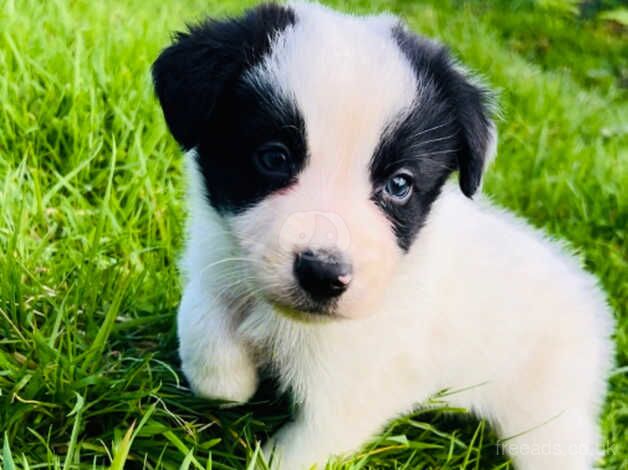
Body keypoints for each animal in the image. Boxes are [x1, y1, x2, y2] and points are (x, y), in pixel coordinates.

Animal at [151, 1, 612, 468]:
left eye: (399, 184)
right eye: (274, 158)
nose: (323, 274)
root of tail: (589, 298)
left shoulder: (354, 391)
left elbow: (305, 447)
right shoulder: (216, 257)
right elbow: (203, 322)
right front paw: (228, 381)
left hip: (547, 414)